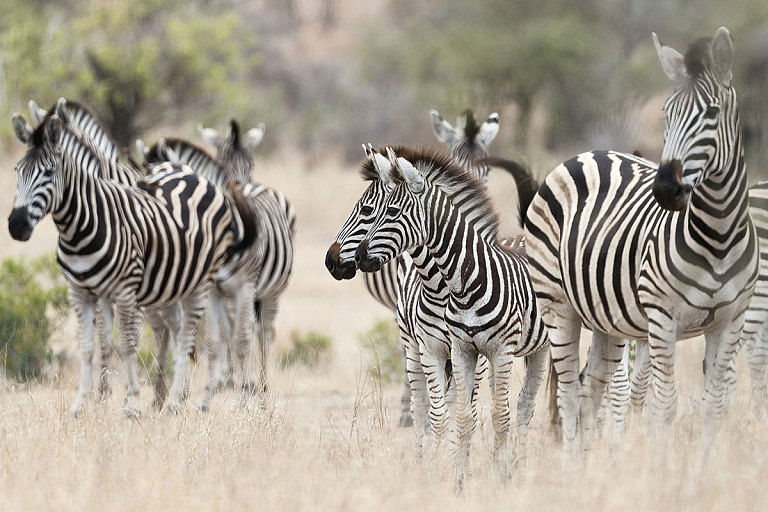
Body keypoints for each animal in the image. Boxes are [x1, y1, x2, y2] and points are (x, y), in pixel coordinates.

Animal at [8, 113, 258, 416]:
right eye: (18, 170)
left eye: (48, 173)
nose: (16, 225)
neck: (79, 229)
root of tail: (197, 176)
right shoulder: (80, 293)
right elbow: (89, 347)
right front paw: (82, 404)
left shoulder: (126, 292)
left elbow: (128, 346)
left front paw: (132, 404)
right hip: (174, 283)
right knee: (179, 332)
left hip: (202, 284)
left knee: (190, 337)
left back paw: (177, 400)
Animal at [138, 132, 294, 408]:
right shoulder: (208, 290)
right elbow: (210, 340)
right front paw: (201, 394)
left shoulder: (242, 287)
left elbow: (238, 340)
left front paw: (241, 397)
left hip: (271, 292)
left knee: (263, 334)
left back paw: (261, 390)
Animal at [356, 147, 548, 488]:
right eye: (373, 211)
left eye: (390, 212)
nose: (359, 256)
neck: (465, 281)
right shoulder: (460, 350)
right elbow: (460, 416)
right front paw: (457, 480)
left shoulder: (499, 351)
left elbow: (499, 416)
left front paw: (500, 478)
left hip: (549, 343)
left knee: (532, 404)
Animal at [524, 26, 760, 462]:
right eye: (667, 113)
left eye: (712, 113)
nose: (666, 188)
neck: (717, 236)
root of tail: (589, 152)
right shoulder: (664, 319)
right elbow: (664, 405)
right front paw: (661, 469)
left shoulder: (730, 320)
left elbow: (715, 405)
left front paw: (703, 467)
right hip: (557, 303)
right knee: (569, 395)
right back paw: (571, 470)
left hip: (606, 321)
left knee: (590, 392)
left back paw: (590, 468)